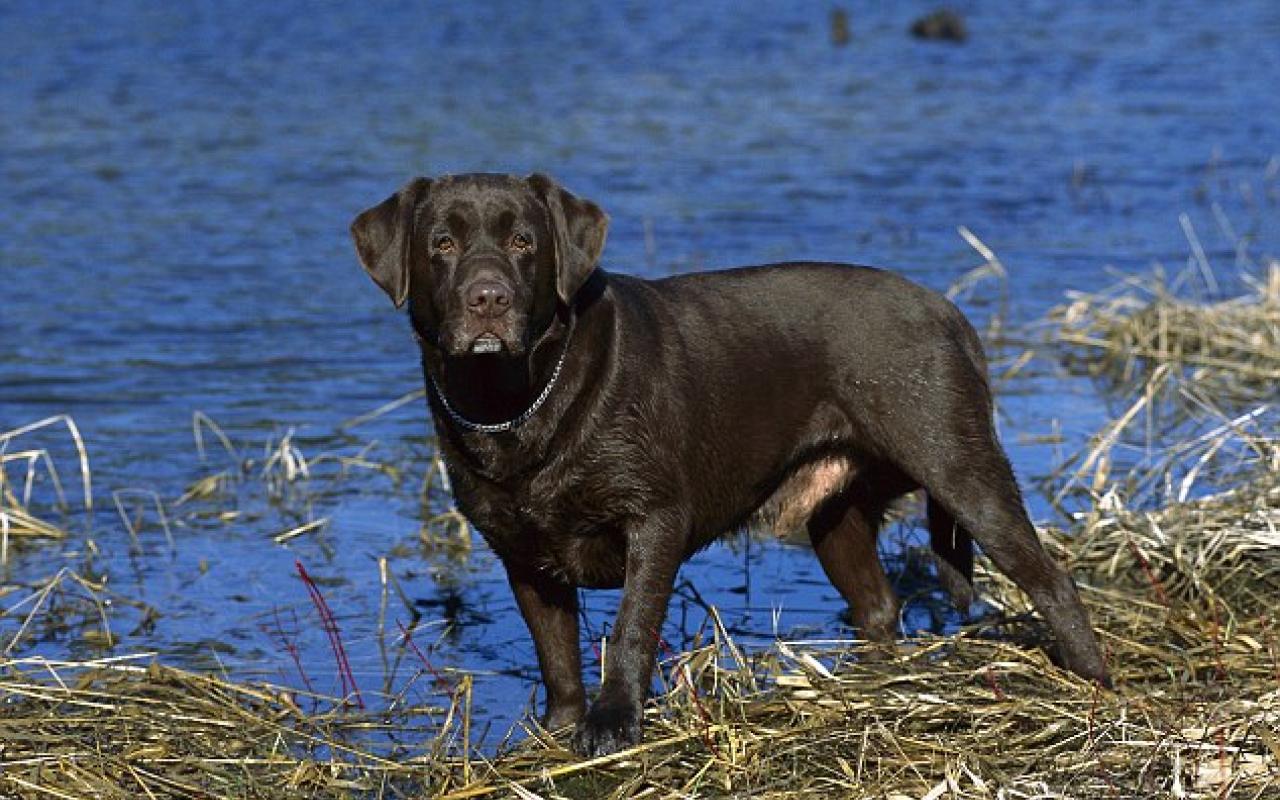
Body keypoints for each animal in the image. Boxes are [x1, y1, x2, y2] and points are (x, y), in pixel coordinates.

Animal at [353, 172, 1111, 752]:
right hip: (834, 517)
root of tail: (948, 310)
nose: (488, 297)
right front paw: (560, 727)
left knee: (1051, 580)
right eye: (442, 244)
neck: (516, 401)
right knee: (878, 605)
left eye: (523, 242)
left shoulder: (654, 522)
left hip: (963, 471)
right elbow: (555, 650)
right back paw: (875, 689)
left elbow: (631, 629)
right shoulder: (521, 553)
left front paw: (613, 725)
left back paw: (1094, 684)